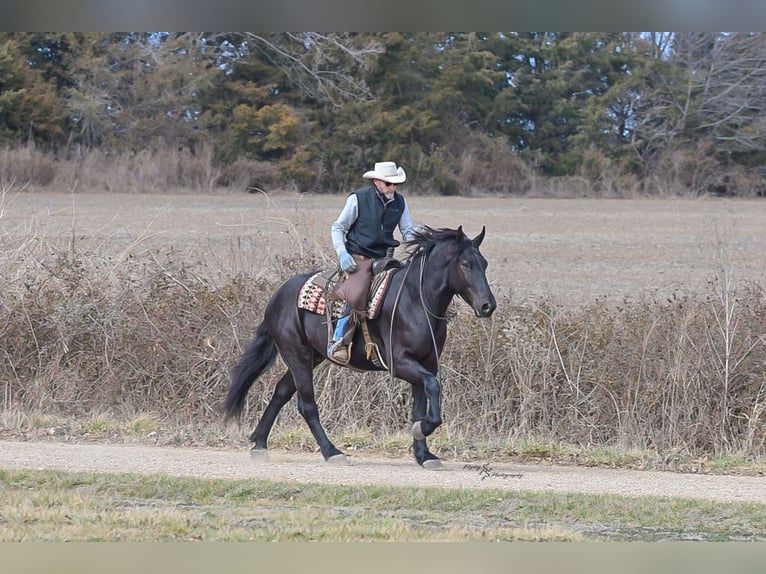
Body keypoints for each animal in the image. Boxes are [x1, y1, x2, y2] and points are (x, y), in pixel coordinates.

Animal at [223, 225, 497, 468]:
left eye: (483, 264)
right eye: (466, 264)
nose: (487, 306)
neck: (416, 301)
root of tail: (278, 296)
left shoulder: (425, 363)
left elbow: (419, 406)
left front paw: (424, 454)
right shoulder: (402, 363)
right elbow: (432, 387)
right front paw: (424, 431)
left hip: (309, 357)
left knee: (281, 392)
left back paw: (259, 444)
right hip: (296, 355)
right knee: (306, 404)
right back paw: (332, 452)